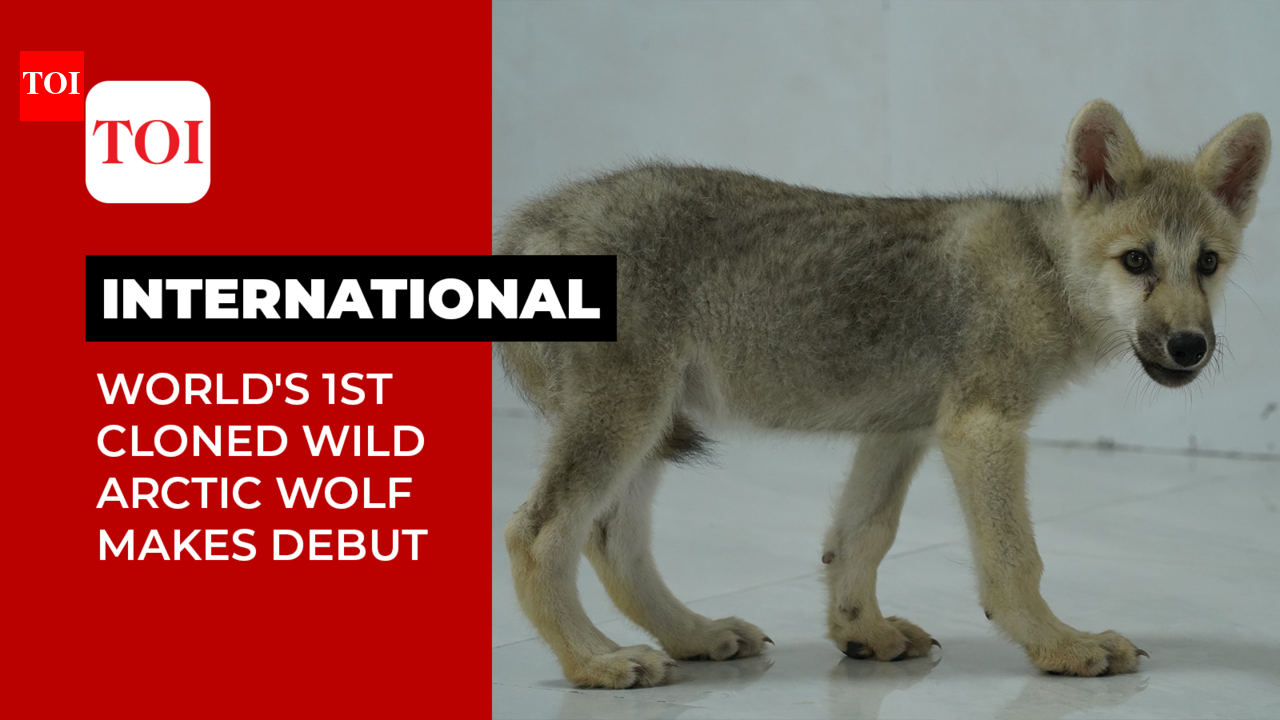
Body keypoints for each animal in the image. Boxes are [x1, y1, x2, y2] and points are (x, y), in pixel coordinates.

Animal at [496, 100, 1270, 688]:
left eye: (1208, 264)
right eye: (1137, 261)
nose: (1190, 348)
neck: (1045, 271)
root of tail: (535, 219)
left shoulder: (901, 430)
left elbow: (859, 538)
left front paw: (859, 632)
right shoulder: (982, 429)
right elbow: (1014, 562)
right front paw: (1060, 645)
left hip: (650, 427)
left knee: (610, 539)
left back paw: (692, 634)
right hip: (627, 419)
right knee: (539, 533)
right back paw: (596, 662)